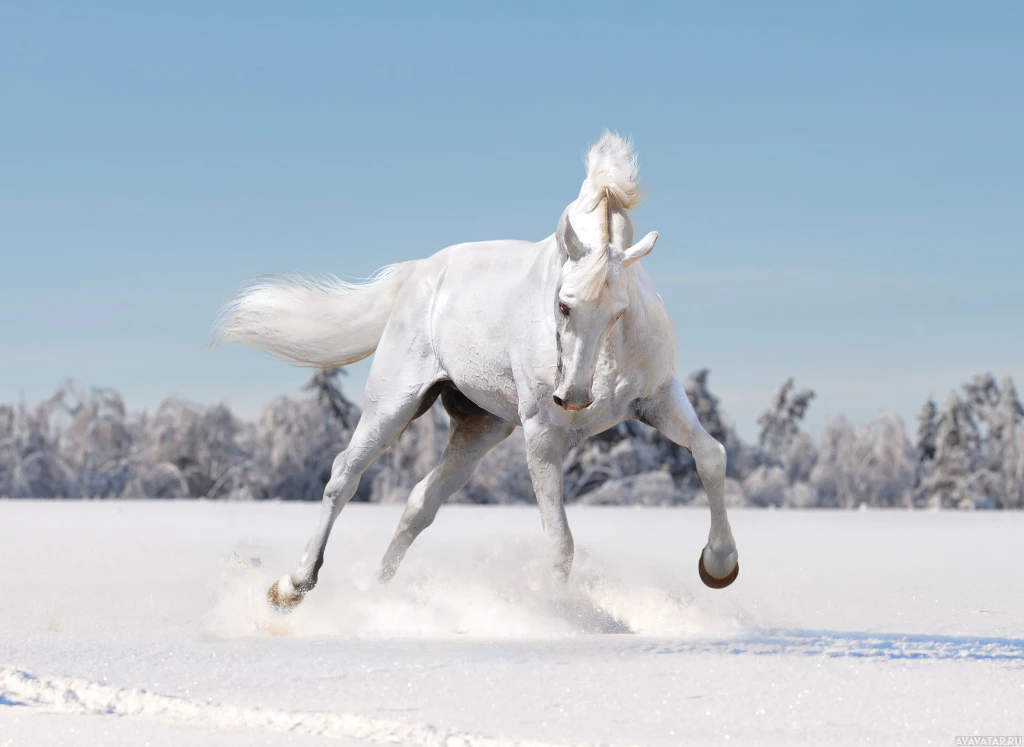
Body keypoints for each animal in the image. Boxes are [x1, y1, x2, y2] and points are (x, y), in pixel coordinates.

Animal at [218, 131, 737, 610]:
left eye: (619, 313)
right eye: (563, 305)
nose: (573, 398)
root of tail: (420, 272)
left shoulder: (659, 400)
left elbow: (711, 456)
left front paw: (719, 566)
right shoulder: (543, 435)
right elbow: (560, 541)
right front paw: (560, 614)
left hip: (480, 428)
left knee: (420, 503)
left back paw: (377, 594)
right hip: (393, 405)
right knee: (344, 475)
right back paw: (293, 585)